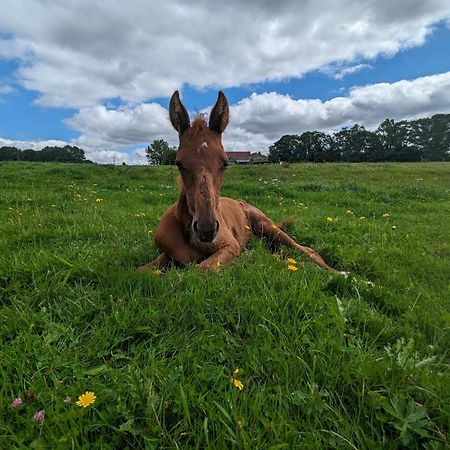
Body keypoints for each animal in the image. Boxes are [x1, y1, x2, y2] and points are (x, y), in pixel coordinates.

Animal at [139, 90, 340, 274]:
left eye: (225, 163)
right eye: (179, 163)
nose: (206, 229)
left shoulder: (230, 247)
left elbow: (197, 271)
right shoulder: (167, 256)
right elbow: (140, 272)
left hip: (268, 226)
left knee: (308, 250)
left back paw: (339, 274)